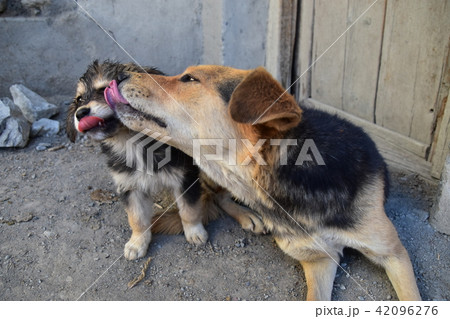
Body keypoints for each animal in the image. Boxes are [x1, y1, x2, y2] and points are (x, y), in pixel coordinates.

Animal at [65, 62, 266, 262]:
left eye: (103, 89)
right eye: (79, 99)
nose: (80, 113)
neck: (133, 142)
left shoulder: (185, 178)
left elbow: (189, 210)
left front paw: (195, 232)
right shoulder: (129, 185)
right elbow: (136, 218)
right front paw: (137, 243)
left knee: (223, 196)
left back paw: (247, 215)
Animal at [104, 65, 422, 302]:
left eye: (189, 79)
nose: (117, 76)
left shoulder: (393, 252)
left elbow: (411, 298)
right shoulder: (319, 258)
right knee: (215, 196)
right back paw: (248, 215)